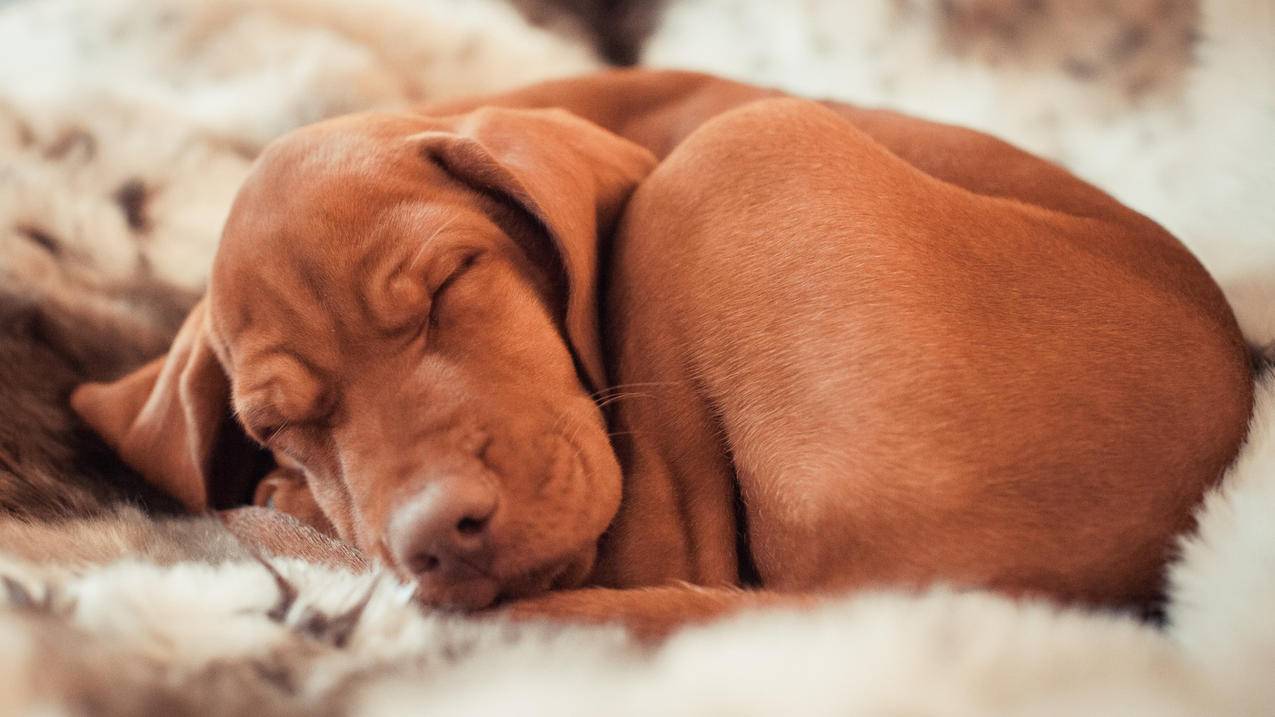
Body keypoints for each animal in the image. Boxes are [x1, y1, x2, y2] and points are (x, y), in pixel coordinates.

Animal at [67, 69, 1244, 632]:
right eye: (280, 422)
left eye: (451, 283)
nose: (436, 538)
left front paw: (291, 504)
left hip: (733, 157)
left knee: (681, 569)